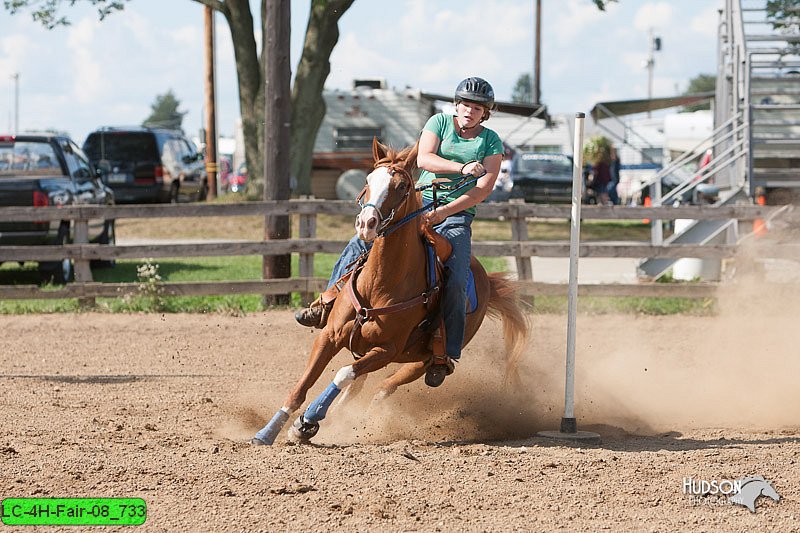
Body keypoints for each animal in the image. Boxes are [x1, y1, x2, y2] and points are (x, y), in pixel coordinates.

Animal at [253, 138, 532, 444]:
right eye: (367, 180)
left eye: (401, 186)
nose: (366, 224)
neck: (379, 283)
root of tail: (487, 281)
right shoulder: (330, 336)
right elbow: (303, 385)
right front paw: (268, 431)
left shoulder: (386, 349)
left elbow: (343, 374)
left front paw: (307, 421)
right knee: (359, 388)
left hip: (420, 361)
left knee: (383, 387)